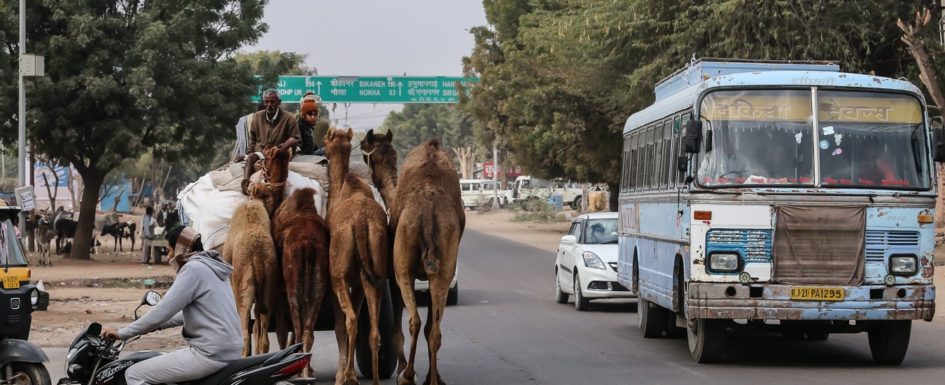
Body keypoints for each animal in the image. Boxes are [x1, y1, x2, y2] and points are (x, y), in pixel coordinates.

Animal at [272, 188, 330, 376]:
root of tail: (308, 244)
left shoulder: (279, 290)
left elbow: (282, 329)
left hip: (293, 285)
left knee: (297, 329)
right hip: (318, 284)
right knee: (307, 331)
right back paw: (306, 371)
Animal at [320, 128, 388, 384]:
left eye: (325, 140)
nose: (323, 156)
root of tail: (360, 222)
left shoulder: (336, 280)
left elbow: (341, 323)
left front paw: (344, 374)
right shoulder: (359, 282)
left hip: (337, 273)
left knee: (349, 321)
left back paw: (346, 378)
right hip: (375, 271)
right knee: (374, 331)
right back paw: (375, 379)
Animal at [390, 139, 462, 384]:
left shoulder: (394, 276)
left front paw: (403, 369)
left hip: (403, 265)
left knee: (415, 321)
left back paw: (407, 375)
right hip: (444, 264)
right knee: (433, 329)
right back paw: (432, 379)